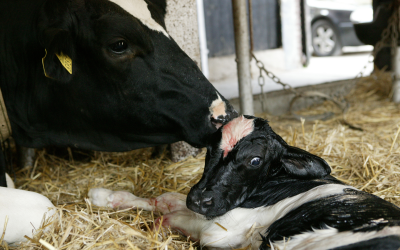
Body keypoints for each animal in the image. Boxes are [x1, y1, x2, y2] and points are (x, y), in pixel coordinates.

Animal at [89, 115, 400, 250]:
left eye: (255, 160)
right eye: (209, 149)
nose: (200, 199)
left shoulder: (222, 230)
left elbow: (170, 212)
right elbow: (164, 199)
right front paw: (104, 196)